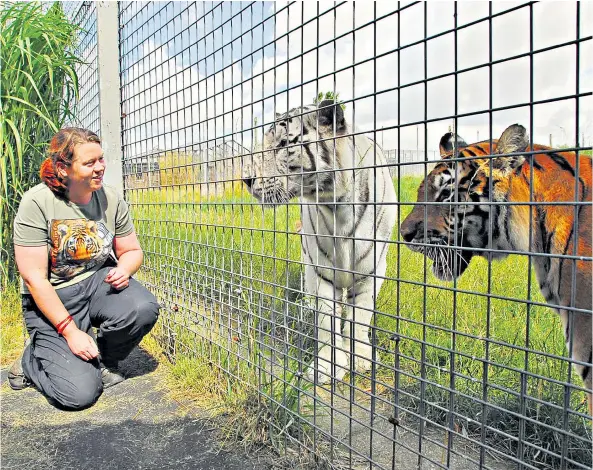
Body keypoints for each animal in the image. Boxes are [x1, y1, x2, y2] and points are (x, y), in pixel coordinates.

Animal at [240, 101, 398, 384]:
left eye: (283, 144)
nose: (246, 179)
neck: (337, 206)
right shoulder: (322, 270)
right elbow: (326, 323)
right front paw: (327, 367)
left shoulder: (371, 272)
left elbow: (360, 317)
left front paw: (360, 358)